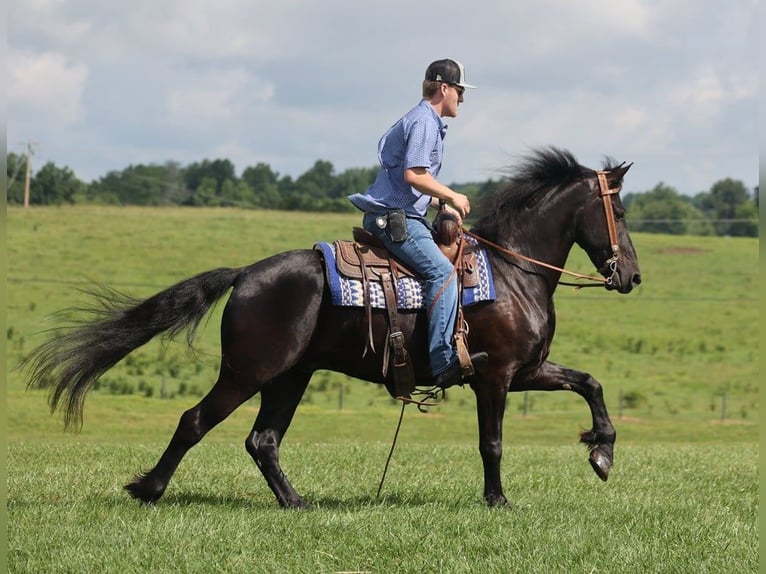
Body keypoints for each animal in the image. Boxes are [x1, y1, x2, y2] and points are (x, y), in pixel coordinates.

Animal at [24, 147, 640, 508]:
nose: (632, 275)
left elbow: (590, 384)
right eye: (621, 213)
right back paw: (149, 490)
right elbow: (492, 442)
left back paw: (296, 502)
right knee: (195, 421)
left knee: (262, 440)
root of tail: (246, 273)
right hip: (248, 373)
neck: (513, 271)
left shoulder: (529, 370)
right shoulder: (495, 377)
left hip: (289, 377)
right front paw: (498, 502)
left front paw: (602, 453)